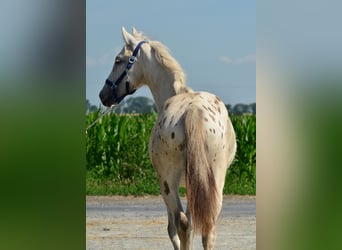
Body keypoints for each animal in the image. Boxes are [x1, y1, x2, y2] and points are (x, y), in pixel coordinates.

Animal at [99, 27, 236, 250]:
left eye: (118, 60)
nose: (103, 95)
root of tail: (193, 111)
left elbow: (172, 229)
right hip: (214, 178)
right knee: (206, 227)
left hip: (169, 182)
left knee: (181, 223)